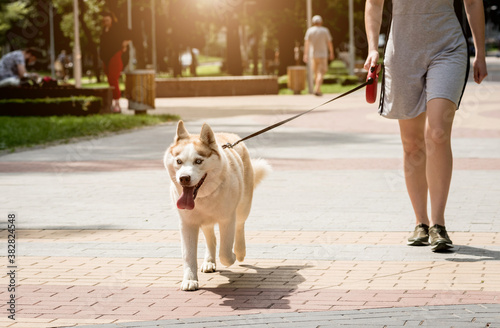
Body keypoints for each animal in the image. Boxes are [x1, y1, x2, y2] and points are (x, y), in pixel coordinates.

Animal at [165, 121, 272, 290]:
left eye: (198, 161)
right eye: (179, 161)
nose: (184, 178)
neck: (204, 197)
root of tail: (229, 135)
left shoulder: (227, 219)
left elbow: (225, 253)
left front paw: (233, 256)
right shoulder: (187, 223)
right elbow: (188, 255)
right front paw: (190, 280)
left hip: (243, 207)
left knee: (240, 226)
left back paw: (240, 251)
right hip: (205, 220)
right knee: (211, 238)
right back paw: (209, 261)